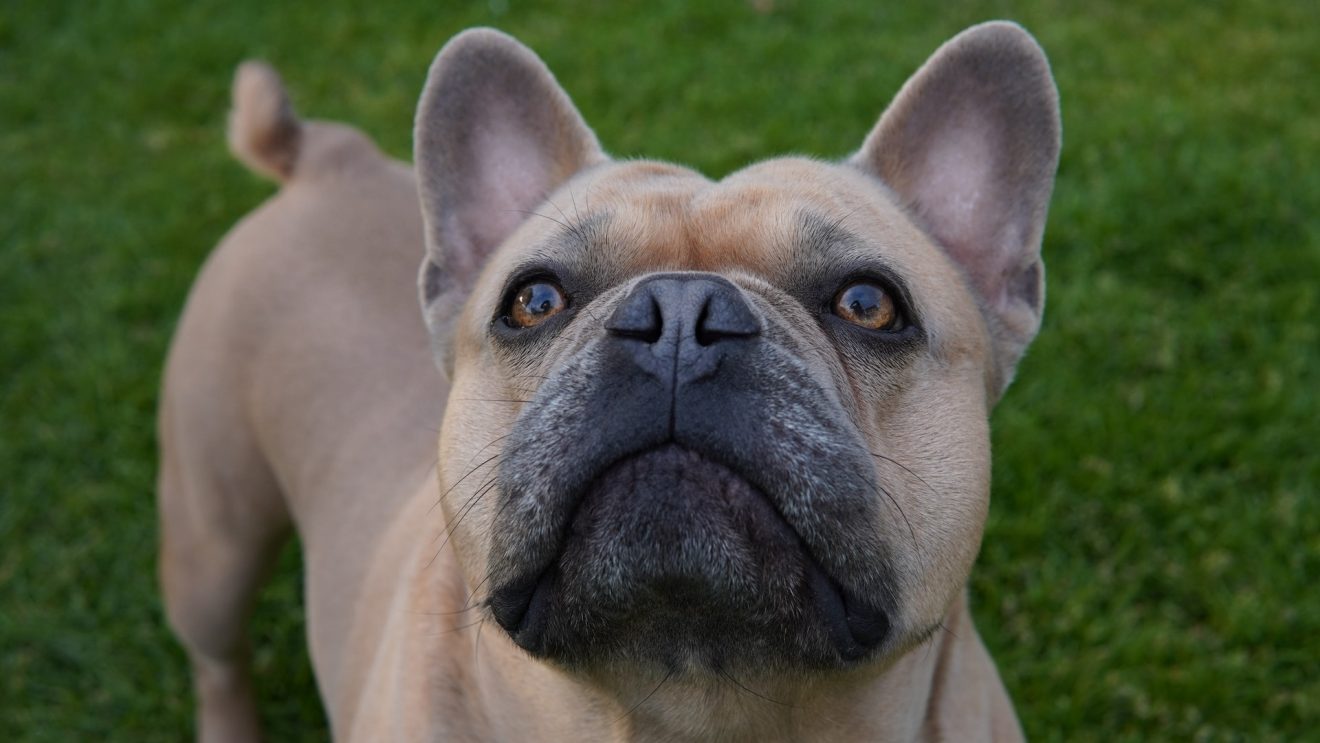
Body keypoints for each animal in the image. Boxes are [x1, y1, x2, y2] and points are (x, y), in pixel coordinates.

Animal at [157, 21, 1061, 743]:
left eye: (869, 304)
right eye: (533, 300)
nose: (681, 313)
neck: (693, 709)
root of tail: (323, 159)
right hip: (213, 544)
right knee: (217, 659)